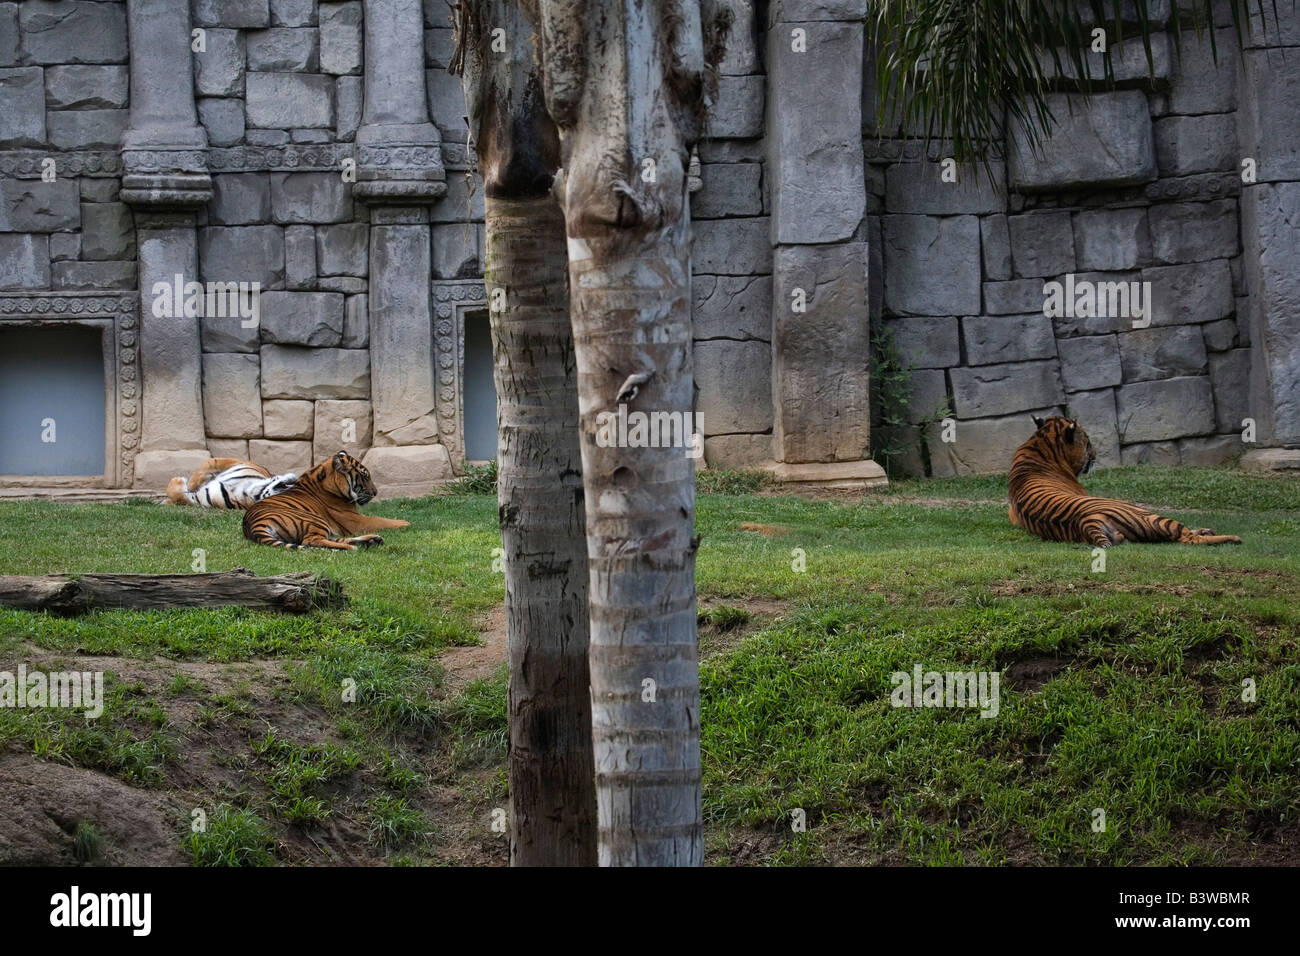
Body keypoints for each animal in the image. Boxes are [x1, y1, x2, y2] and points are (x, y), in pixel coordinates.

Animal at [241, 450, 408, 548]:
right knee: (311, 541)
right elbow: (382, 520)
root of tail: (253, 525)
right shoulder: (356, 521)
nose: (376, 492)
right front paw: (406, 523)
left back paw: (372, 541)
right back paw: (353, 547)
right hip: (313, 519)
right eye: (365, 476)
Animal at [1003, 416, 1237, 546]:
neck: (1039, 444)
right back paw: (1232, 538)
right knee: (1187, 538)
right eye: (1088, 441)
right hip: (1145, 513)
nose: (1096, 454)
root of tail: (1084, 521)